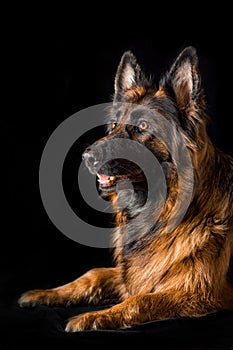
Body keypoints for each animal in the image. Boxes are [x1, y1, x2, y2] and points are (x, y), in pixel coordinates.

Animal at [18, 46, 233, 330]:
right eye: (113, 125)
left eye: (143, 126)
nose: (86, 157)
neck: (162, 210)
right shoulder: (133, 273)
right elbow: (93, 274)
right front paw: (45, 293)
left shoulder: (199, 292)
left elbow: (141, 300)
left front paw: (93, 317)